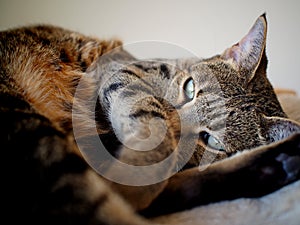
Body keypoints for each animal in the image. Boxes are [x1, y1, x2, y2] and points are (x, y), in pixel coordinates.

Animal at [1, 14, 300, 225]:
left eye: (211, 140)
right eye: (190, 88)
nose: (173, 118)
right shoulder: (118, 72)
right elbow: (151, 121)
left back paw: (278, 163)